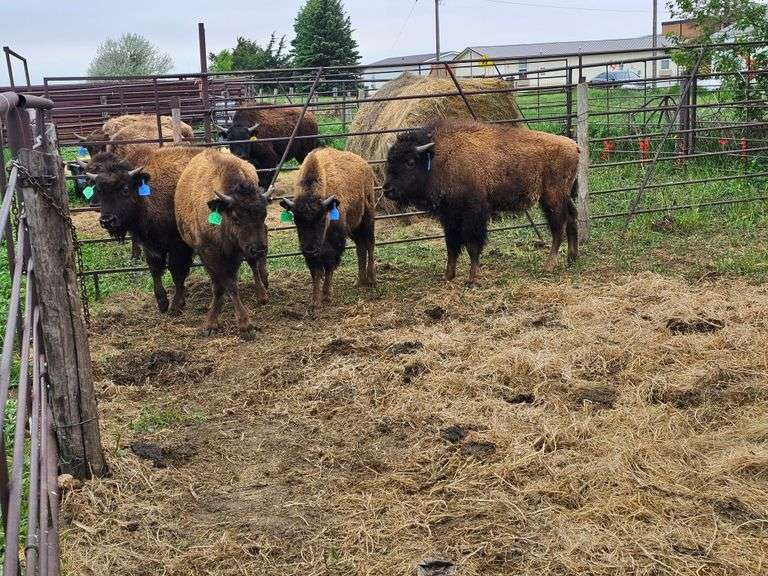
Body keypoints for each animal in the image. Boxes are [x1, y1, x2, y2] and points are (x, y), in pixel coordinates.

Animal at [280, 148, 376, 309]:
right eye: (296, 220)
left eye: (321, 218)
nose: (310, 250)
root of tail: (365, 165)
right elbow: (316, 271)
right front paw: (315, 300)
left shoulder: (335, 243)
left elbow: (329, 265)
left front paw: (326, 295)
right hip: (354, 228)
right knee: (361, 247)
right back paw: (359, 281)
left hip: (367, 219)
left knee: (370, 244)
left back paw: (371, 279)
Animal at [382, 119, 580, 285]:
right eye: (389, 160)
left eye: (410, 162)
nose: (387, 189)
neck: (439, 156)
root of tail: (574, 146)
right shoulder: (449, 217)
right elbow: (451, 246)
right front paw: (448, 276)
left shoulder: (473, 214)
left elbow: (472, 245)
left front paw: (472, 279)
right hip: (561, 197)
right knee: (571, 219)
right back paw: (571, 258)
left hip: (552, 199)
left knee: (558, 227)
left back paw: (548, 266)